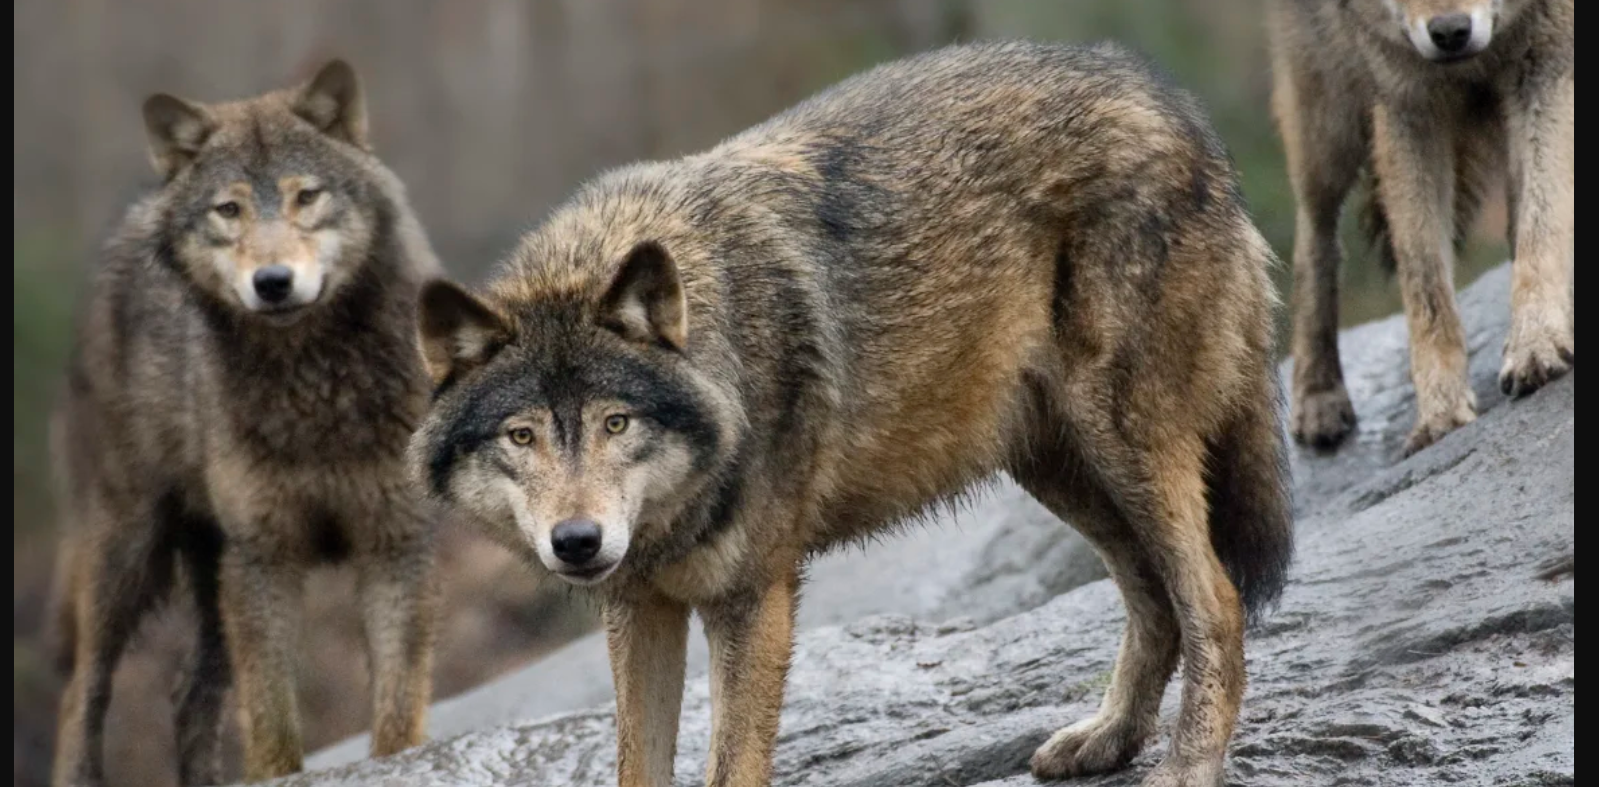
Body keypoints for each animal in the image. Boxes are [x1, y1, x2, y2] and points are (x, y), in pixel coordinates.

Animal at [48, 60, 442, 786]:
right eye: (228, 210)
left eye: (305, 197)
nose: (273, 281)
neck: (314, 388)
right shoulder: (265, 559)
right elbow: (272, 719)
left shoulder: (397, 544)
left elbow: (398, 711)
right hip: (127, 555)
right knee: (81, 694)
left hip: (207, 575)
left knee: (187, 693)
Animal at [414, 41, 1293, 787]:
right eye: (521, 435)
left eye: (615, 423)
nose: (577, 540)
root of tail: (1171, 102)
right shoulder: (641, 605)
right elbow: (638, 763)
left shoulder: (754, 599)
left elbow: (731, 763)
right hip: (1057, 468)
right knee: (1153, 601)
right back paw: (1107, 738)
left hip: (1125, 443)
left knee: (1214, 601)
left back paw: (1186, 765)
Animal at [1270, 0, 1574, 455]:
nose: (1450, 33)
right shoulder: (1405, 105)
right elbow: (1424, 282)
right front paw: (1440, 413)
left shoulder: (1546, 65)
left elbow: (1541, 225)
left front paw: (1534, 344)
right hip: (1327, 120)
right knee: (1314, 239)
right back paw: (1318, 398)